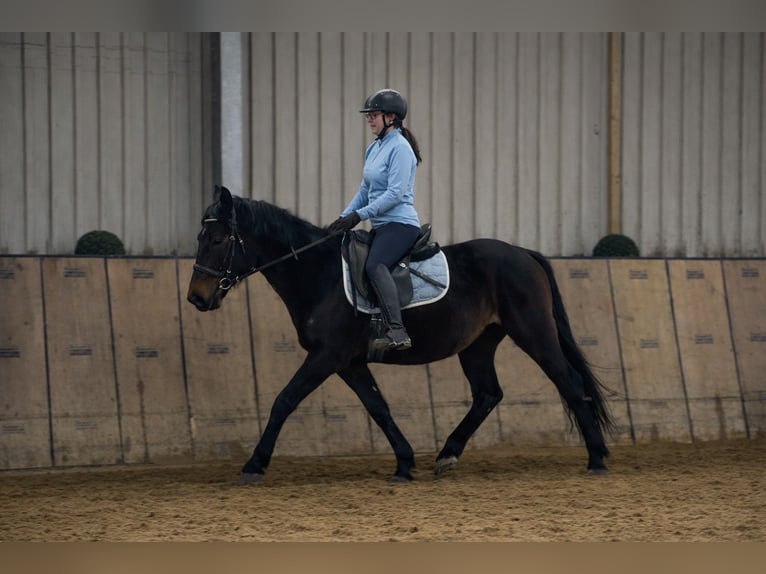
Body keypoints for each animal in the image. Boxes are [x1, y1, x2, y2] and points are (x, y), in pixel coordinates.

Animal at [187, 186, 614, 483]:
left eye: (219, 240)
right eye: (201, 239)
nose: (196, 298)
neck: (319, 274)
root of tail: (524, 253)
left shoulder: (327, 356)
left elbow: (284, 401)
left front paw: (254, 464)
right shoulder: (349, 362)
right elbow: (379, 407)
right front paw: (405, 463)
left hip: (533, 332)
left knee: (570, 383)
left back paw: (596, 458)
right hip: (478, 344)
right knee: (488, 394)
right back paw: (447, 454)